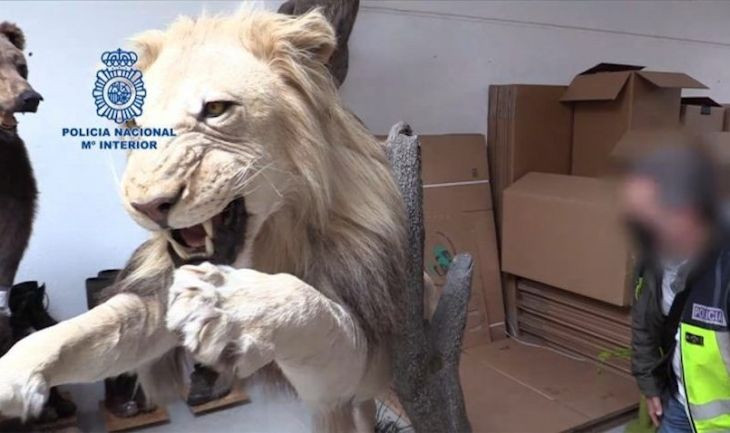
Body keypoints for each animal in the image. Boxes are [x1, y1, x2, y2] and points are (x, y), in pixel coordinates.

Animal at [0, 8, 408, 433]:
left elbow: (311, 306)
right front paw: (12, 372)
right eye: (132, 127)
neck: (267, 244)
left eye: (215, 110)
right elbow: (88, 328)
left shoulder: (362, 365)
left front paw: (230, 305)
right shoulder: (156, 299)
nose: (147, 205)